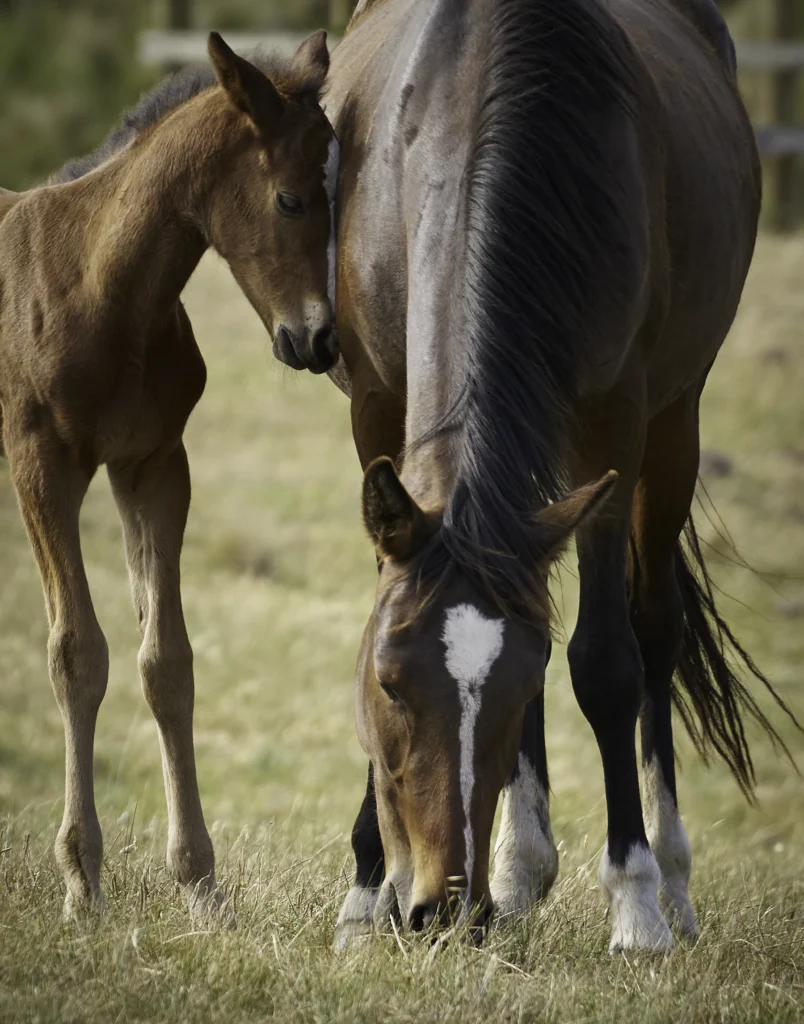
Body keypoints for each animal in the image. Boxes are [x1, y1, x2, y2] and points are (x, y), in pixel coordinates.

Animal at [0, 32, 337, 917]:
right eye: (290, 199)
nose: (320, 340)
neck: (99, 287)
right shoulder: (40, 464)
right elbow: (77, 654)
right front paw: (82, 882)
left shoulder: (152, 465)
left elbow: (167, 662)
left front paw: (199, 881)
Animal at [311, 0, 794, 946]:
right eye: (389, 683)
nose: (441, 909)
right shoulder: (377, 408)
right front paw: (364, 892)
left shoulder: (614, 429)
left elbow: (605, 662)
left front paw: (635, 902)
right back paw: (517, 867)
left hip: (673, 426)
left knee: (653, 631)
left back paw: (667, 883)